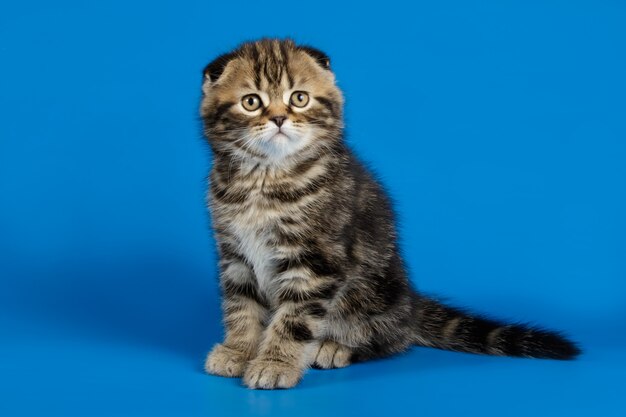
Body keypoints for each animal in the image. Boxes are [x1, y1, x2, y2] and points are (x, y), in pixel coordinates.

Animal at [197, 39, 576, 390]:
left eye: (299, 98)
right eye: (251, 102)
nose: (278, 118)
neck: (265, 178)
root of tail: (410, 303)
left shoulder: (316, 260)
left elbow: (295, 319)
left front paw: (275, 364)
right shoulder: (234, 254)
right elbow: (241, 306)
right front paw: (239, 351)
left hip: (373, 295)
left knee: (394, 339)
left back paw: (335, 347)